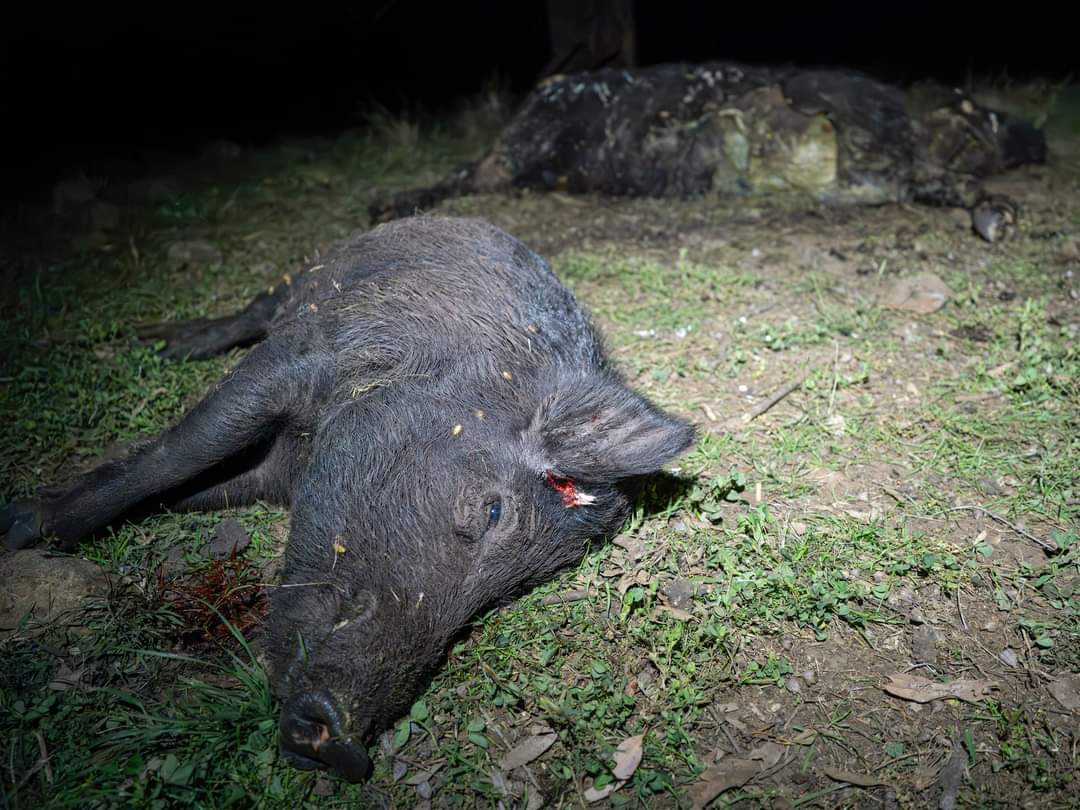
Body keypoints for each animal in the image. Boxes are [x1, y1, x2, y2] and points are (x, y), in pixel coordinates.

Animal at [1, 216, 696, 782]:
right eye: (491, 510)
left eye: (508, 593)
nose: (342, 746)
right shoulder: (299, 359)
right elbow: (173, 457)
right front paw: (19, 525)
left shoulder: (274, 473)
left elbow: (185, 490)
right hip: (304, 283)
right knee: (253, 310)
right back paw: (161, 342)